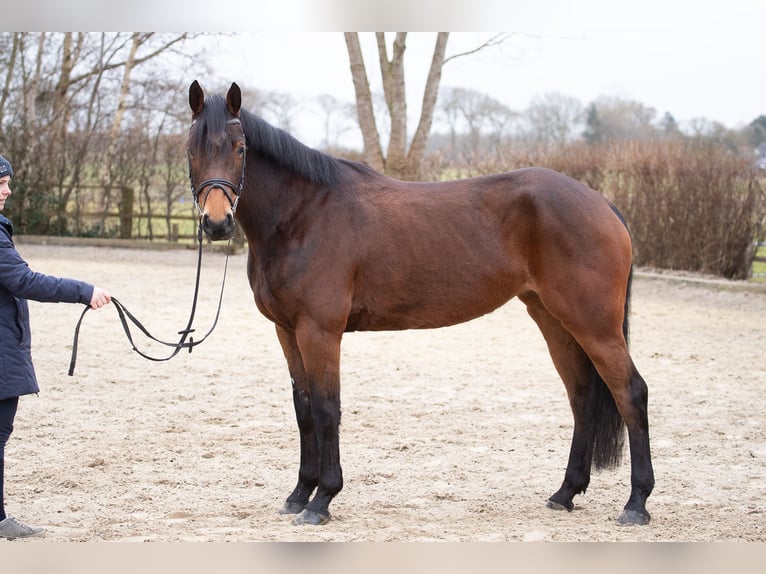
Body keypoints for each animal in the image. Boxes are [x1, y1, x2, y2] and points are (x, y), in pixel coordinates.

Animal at [184, 80, 656, 528]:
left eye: (240, 148)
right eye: (190, 149)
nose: (217, 223)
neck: (303, 214)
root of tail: (601, 202)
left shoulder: (320, 331)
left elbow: (326, 408)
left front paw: (322, 501)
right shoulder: (287, 330)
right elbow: (304, 409)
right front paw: (299, 494)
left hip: (594, 325)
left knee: (630, 393)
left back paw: (636, 503)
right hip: (554, 319)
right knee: (581, 396)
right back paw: (565, 493)